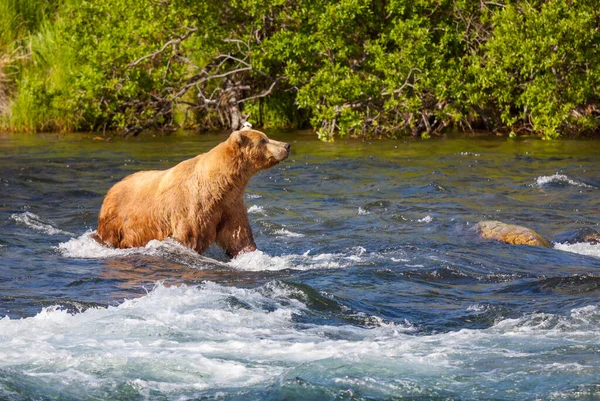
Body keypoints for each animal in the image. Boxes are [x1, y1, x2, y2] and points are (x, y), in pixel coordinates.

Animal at [94, 130, 290, 258]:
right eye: (263, 140)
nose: (286, 145)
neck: (220, 184)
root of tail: (114, 185)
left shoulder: (230, 204)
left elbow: (238, 237)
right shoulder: (193, 206)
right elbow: (190, 236)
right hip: (119, 220)